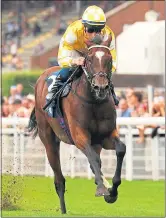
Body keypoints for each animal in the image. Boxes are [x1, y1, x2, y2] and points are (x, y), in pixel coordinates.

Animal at [28, 35, 126, 214]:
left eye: (109, 59)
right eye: (89, 59)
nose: (101, 86)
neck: (94, 101)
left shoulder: (106, 136)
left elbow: (120, 149)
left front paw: (112, 192)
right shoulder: (79, 136)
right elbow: (92, 157)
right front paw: (102, 189)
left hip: (96, 142)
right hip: (49, 139)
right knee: (59, 178)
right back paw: (63, 209)